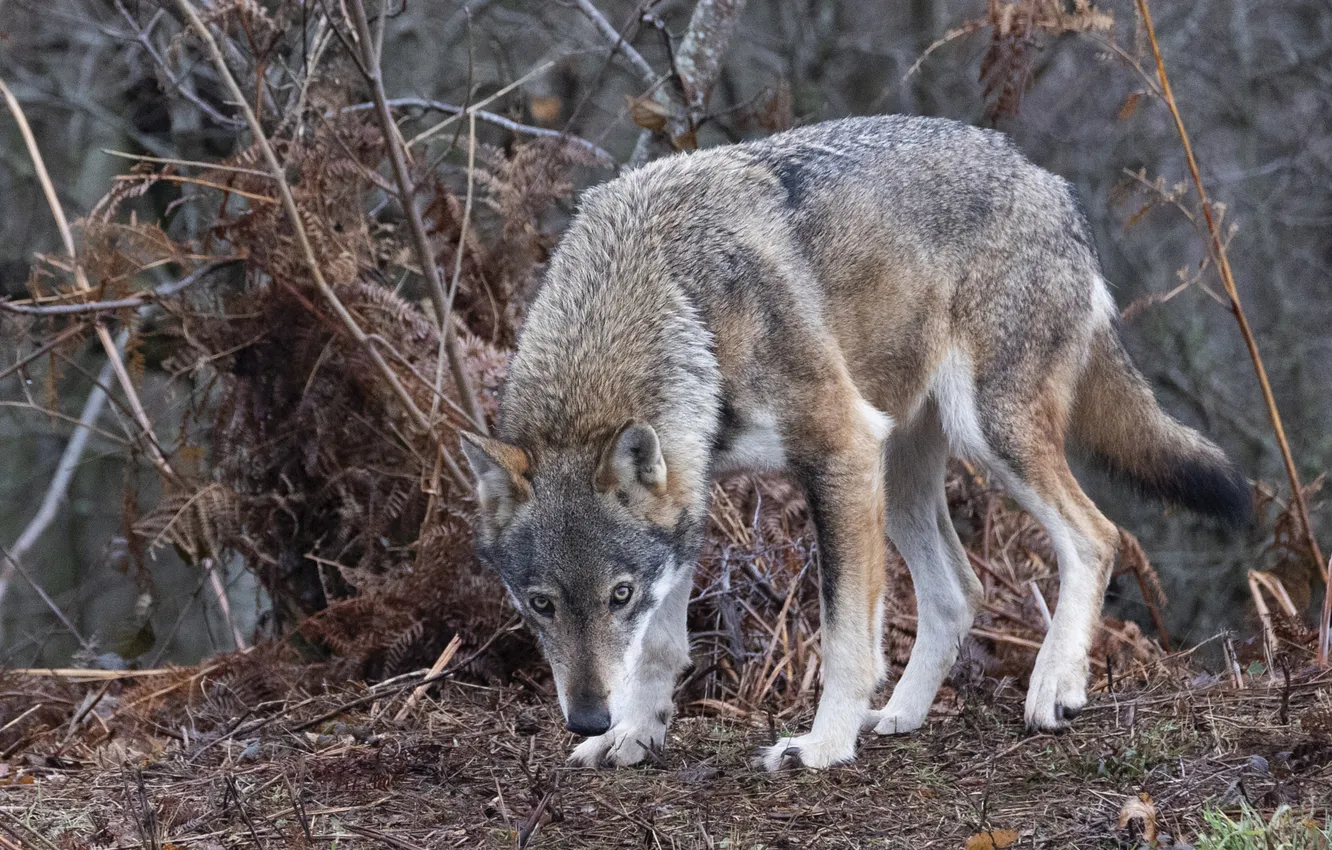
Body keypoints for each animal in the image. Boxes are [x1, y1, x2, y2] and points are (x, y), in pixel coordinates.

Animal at [459, 115, 1250, 771]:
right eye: (540, 604)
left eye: (618, 594)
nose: (587, 718)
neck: (677, 299)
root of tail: (1050, 183)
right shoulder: (691, 488)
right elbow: (661, 646)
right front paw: (633, 737)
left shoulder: (836, 449)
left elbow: (842, 633)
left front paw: (823, 746)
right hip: (898, 478)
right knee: (960, 592)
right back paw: (899, 715)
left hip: (981, 436)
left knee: (1096, 536)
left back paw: (1053, 686)